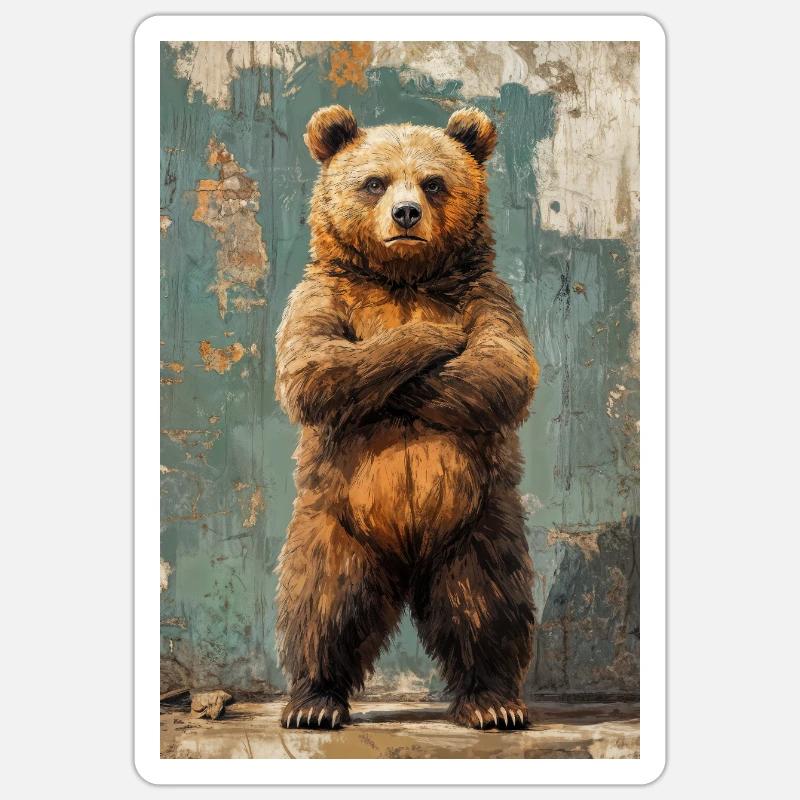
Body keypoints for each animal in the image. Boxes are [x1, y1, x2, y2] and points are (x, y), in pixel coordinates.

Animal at [274, 105, 539, 731]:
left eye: (433, 182)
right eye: (374, 181)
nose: (406, 213)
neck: (403, 277)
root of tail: (409, 559)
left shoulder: (490, 296)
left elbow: (502, 366)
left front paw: (445, 340)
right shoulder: (321, 296)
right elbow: (313, 366)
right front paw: (428, 337)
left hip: (479, 524)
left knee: (486, 604)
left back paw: (492, 701)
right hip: (334, 523)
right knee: (322, 603)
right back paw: (314, 701)